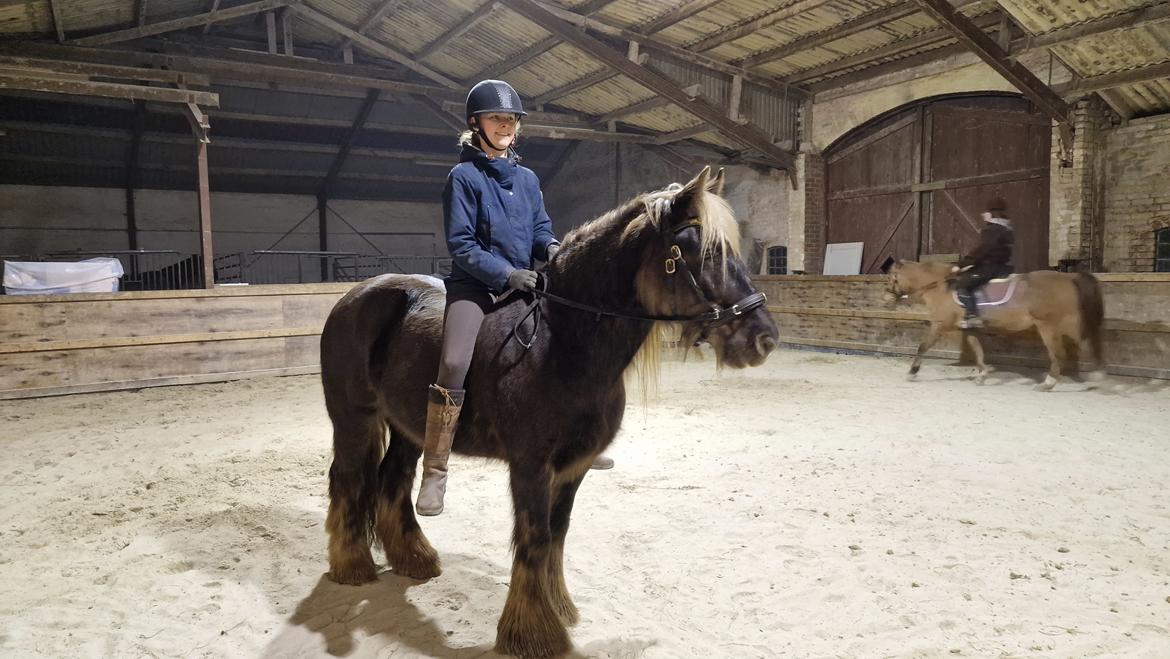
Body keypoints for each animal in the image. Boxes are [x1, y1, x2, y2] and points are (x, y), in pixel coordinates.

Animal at [315, 167, 781, 655]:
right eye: (698, 251)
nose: (763, 339)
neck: (561, 341)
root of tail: (354, 296)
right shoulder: (531, 467)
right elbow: (535, 537)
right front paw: (532, 630)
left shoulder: (572, 468)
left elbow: (557, 533)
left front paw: (558, 607)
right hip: (353, 418)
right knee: (349, 479)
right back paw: (352, 565)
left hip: (408, 426)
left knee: (393, 479)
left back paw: (414, 558)